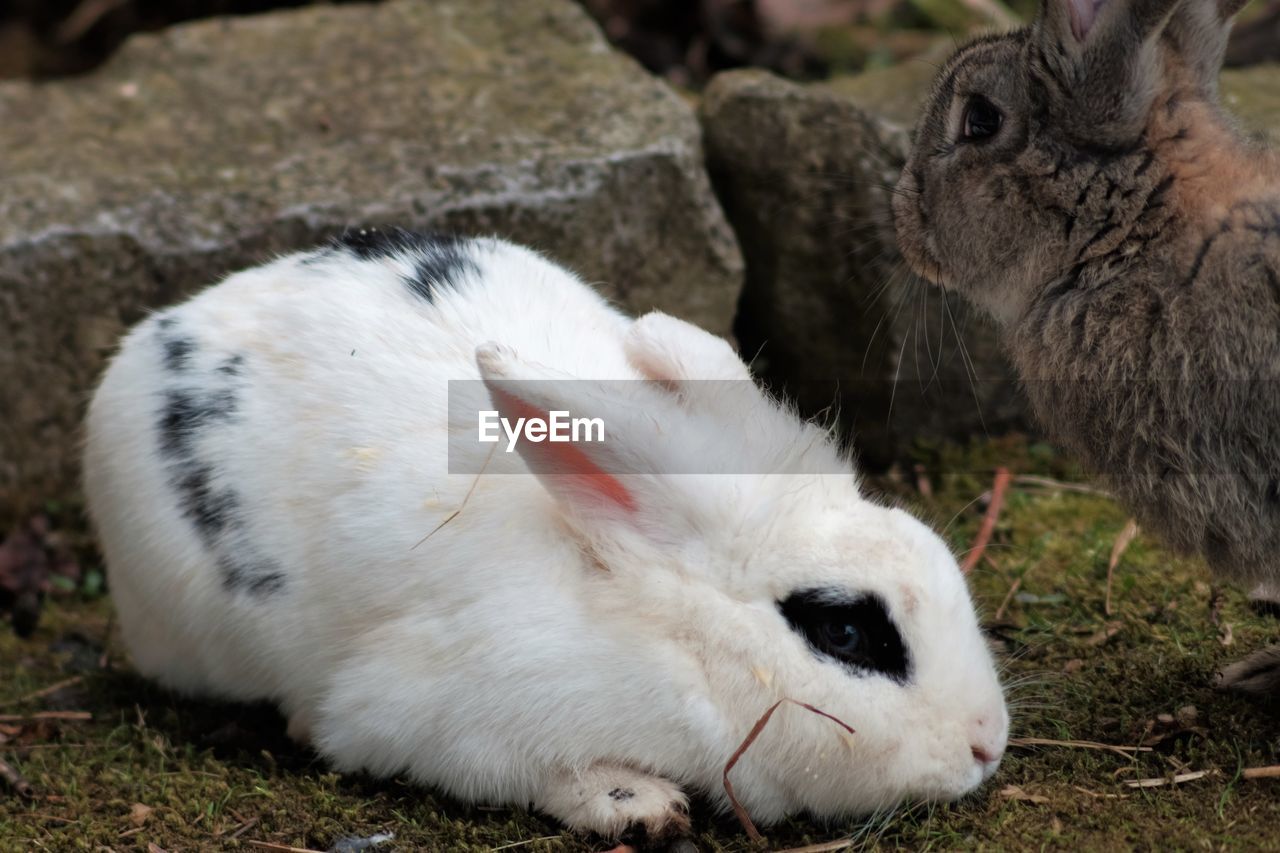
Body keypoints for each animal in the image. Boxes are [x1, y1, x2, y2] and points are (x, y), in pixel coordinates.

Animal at [87, 229, 1008, 840]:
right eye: (844, 630)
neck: (664, 626)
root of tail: (177, 320)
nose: (986, 743)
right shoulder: (439, 721)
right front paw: (635, 803)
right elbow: (535, 769)